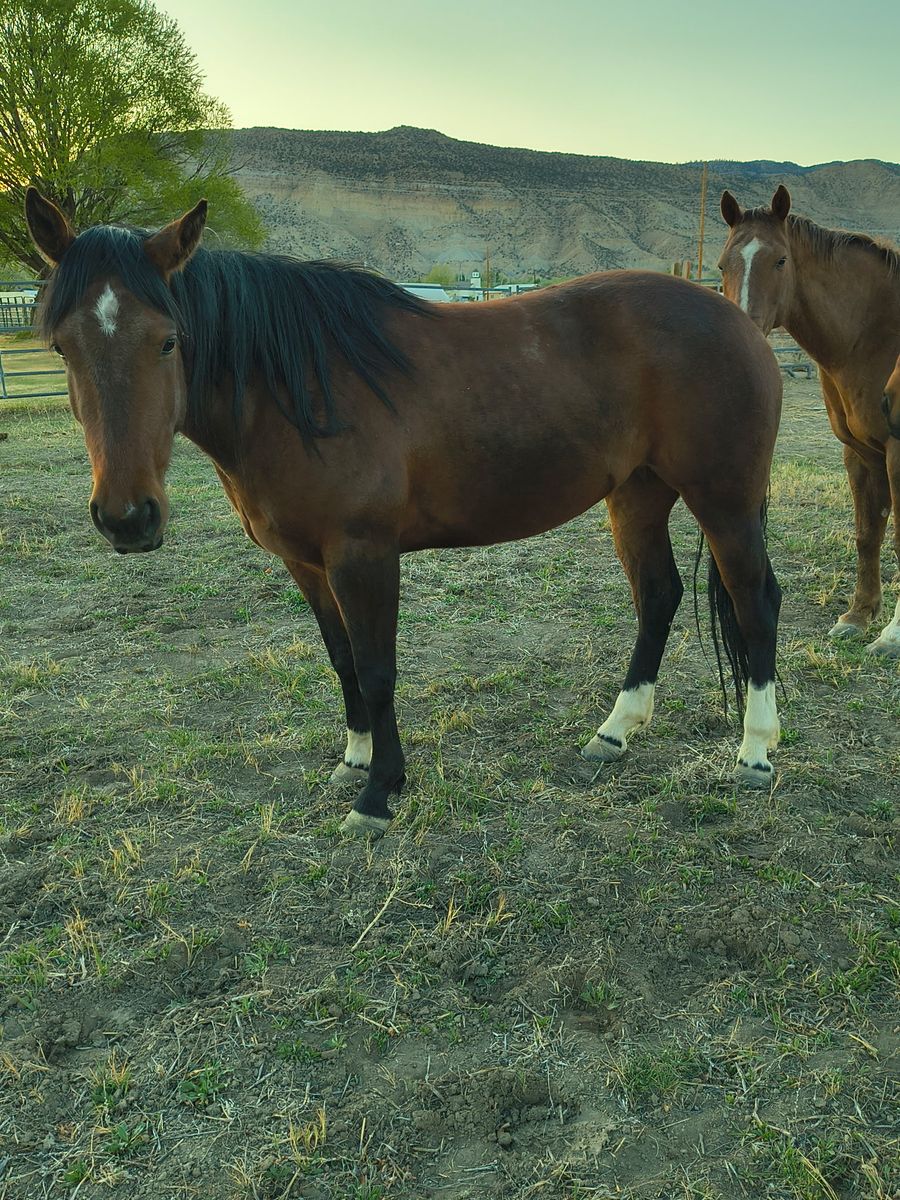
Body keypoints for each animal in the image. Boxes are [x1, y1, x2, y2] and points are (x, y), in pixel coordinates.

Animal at [25, 187, 784, 838]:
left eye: (168, 339)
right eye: (62, 346)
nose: (127, 518)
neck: (295, 388)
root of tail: (736, 318)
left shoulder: (362, 555)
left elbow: (377, 667)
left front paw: (379, 792)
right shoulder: (306, 563)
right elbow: (341, 661)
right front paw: (355, 759)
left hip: (725, 500)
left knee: (755, 599)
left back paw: (755, 751)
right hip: (636, 495)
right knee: (658, 596)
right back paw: (615, 731)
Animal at [718, 186, 900, 657]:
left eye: (781, 260)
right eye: (723, 264)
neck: (875, 333)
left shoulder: (897, 455)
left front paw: (892, 636)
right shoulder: (860, 453)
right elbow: (867, 533)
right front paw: (858, 616)